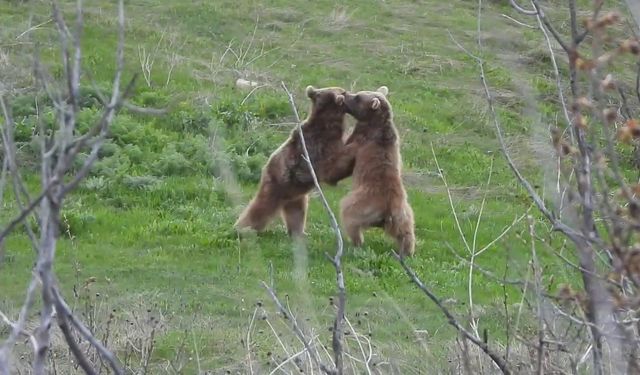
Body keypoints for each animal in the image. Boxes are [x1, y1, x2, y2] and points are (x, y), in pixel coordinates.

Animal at [235, 85, 356, 238]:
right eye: (343, 91)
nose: (350, 93)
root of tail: (265, 167)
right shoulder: (318, 148)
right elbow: (335, 164)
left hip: (296, 194)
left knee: (297, 213)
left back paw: (299, 232)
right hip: (277, 183)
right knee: (261, 206)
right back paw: (242, 228)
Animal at [332, 86, 418, 258]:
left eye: (358, 97)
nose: (345, 94)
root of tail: (388, 210)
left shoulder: (361, 140)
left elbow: (345, 154)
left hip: (362, 204)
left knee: (349, 215)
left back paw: (355, 242)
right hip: (404, 214)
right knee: (407, 232)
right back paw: (407, 251)